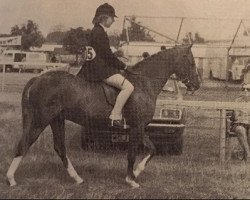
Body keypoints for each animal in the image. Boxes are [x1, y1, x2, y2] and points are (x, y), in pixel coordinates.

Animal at [5, 43, 200, 188]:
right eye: (191, 62)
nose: (196, 85)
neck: (143, 82)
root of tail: (38, 78)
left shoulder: (139, 127)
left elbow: (152, 149)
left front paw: (136, 173)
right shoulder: (136, 127)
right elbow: (132, 153)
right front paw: (131, 180)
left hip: (56, 120)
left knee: (59, 148)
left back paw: (77, 178)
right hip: (41, 120)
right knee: (25, 143)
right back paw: (11, 179)